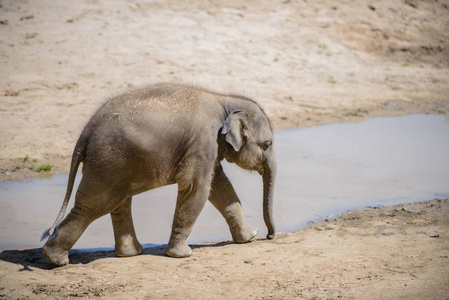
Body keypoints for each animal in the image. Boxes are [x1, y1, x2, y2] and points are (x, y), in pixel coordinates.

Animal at [40, 83, 274, 266]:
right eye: (268, 144)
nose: (269, 236)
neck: (225, 100)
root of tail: (85, 134)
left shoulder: (210, 148)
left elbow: (220, 188)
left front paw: (249, 237)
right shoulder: (202, 143)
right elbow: (196, 189)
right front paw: (181, 255)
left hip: (117, 166)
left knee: (119, 203)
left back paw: (129, 254)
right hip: (108, 161)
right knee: (93, 205)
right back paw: (54, 259)